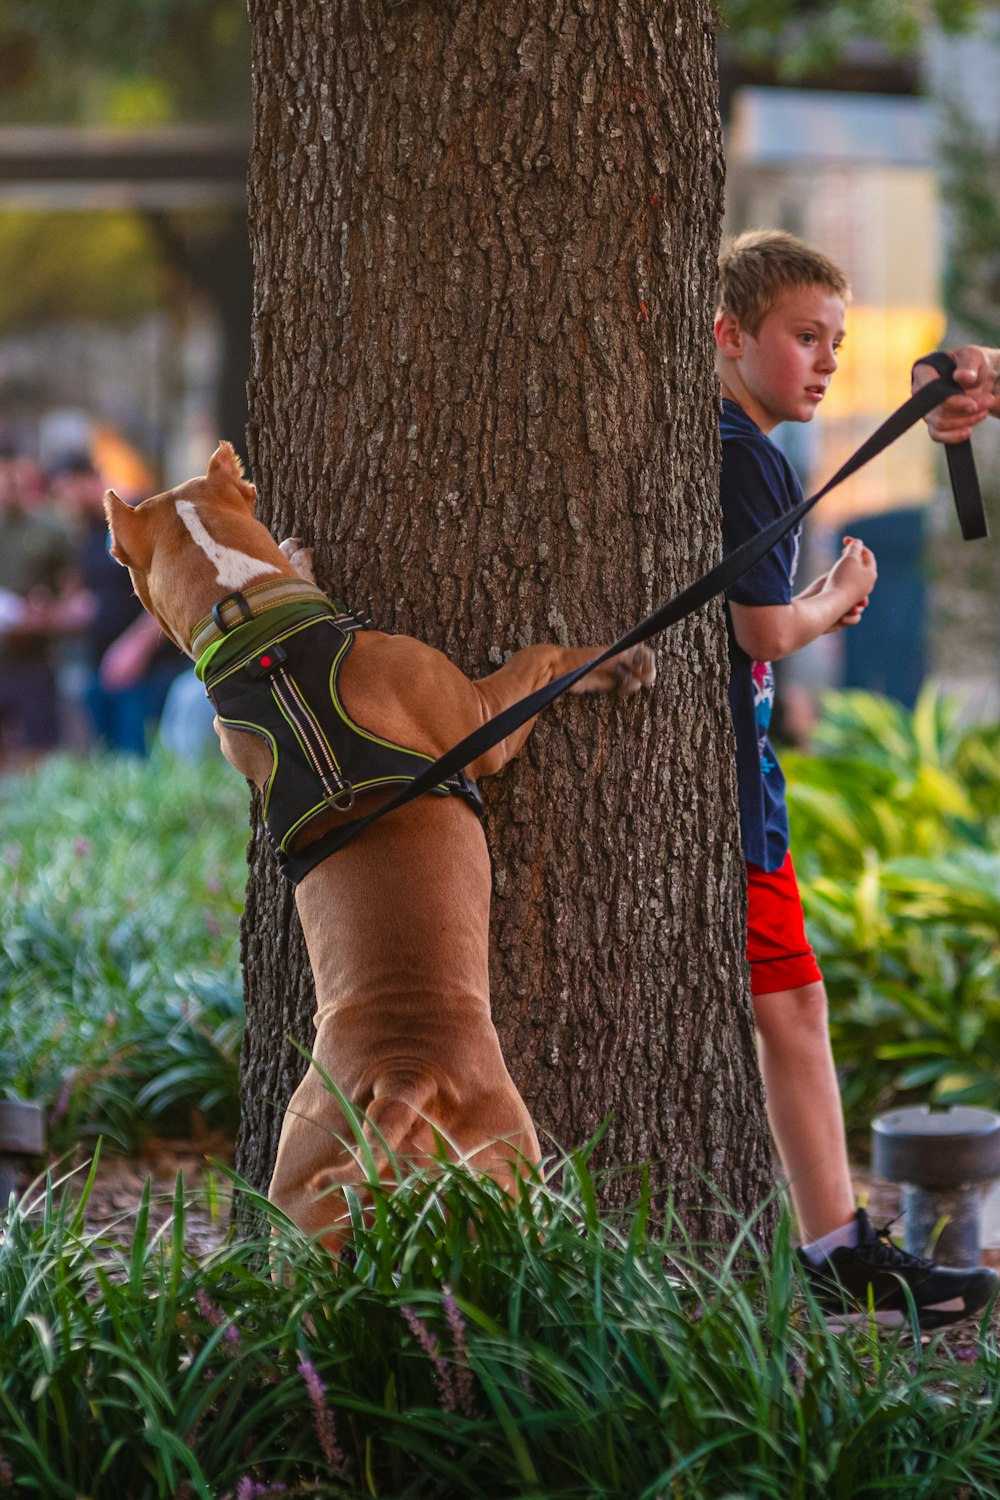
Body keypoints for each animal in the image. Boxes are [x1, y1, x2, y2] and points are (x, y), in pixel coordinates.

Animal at [105, 441, 656, 1242]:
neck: (257, 632)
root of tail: (406, 1072)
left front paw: (298, 555)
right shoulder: (483, 720)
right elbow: (545, 655)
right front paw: (618, 660)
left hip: (306, 1181)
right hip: (514, 1166)